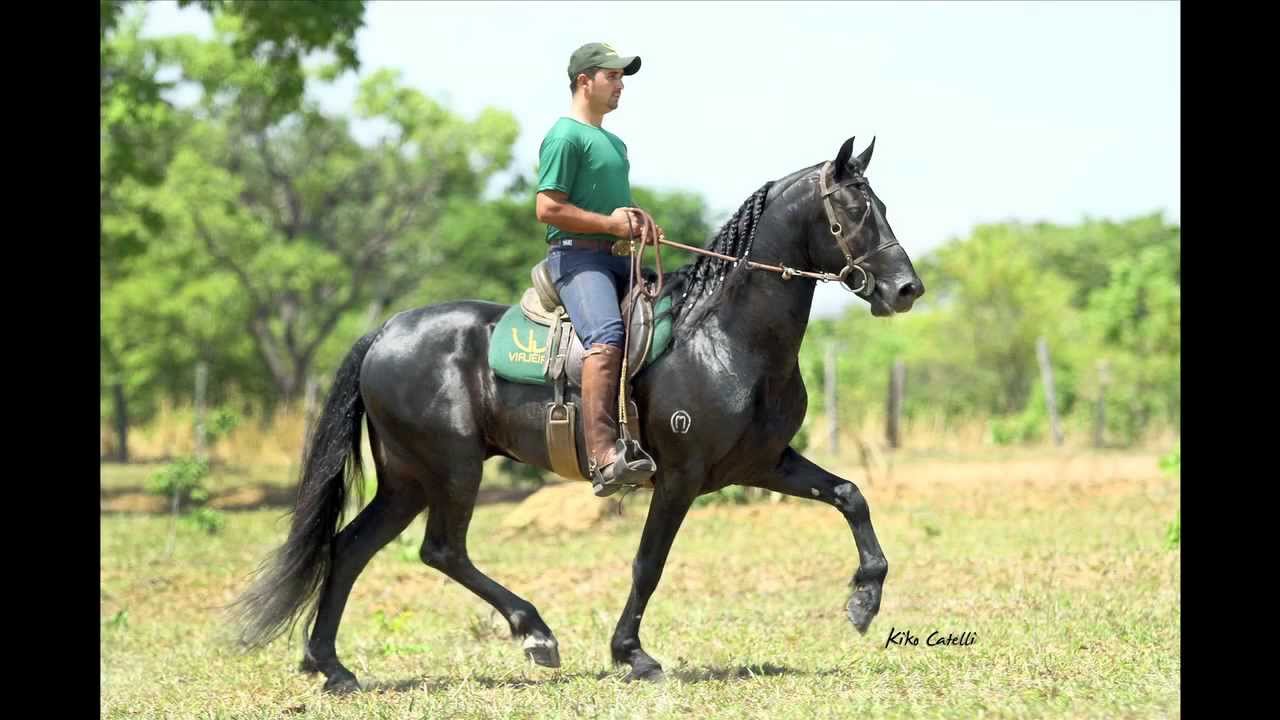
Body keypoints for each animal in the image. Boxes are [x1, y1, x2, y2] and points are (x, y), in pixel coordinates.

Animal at [232, 134, 921, 691]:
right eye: (853, 210)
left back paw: (332, 667)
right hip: (451, 469)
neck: (724, 337)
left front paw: (864, 601)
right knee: (441, 550)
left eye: (884, 206)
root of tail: (385, 332)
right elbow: (648, 563)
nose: (906, 289)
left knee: (350, 548)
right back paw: (534, 633)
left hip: (407, 479)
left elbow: (850, 495)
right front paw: (632, 654)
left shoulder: (762, 464)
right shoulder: (679, 477)